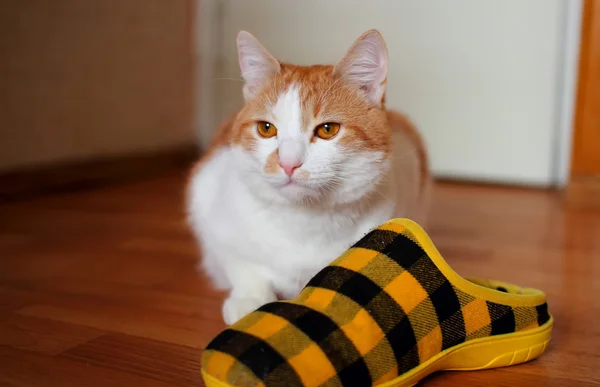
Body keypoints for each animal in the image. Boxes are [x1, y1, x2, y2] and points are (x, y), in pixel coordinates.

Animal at [186, 29, 432, 324]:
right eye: (266, 128)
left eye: (328, 129)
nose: (288, 163)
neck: (305, 221)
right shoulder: (209, 202)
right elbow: (242, 264)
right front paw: (250, 300)